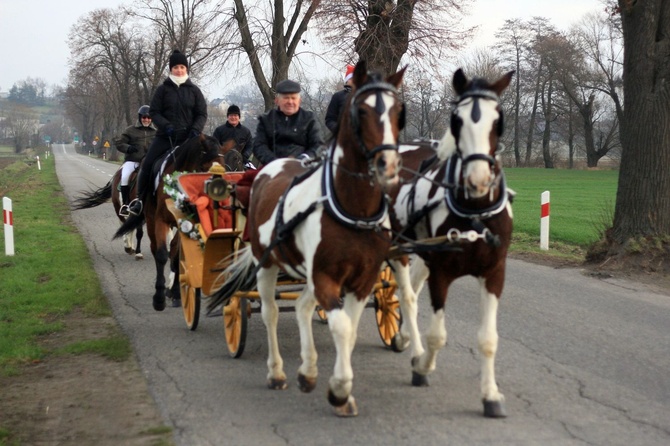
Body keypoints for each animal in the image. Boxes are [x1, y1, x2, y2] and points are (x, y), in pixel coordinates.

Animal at [210, 61, 406, 416]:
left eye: (399, 111)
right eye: (361, 110)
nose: (388, 165)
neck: (350, 206)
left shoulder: (362, 280)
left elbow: (349, 328)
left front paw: (337, 385)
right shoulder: (325, 276)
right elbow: (341, 326)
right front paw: (340, 390)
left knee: (301, 306)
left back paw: (308, 369)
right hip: (266, 263)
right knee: (270, 311)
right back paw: (277, 372)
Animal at [388, 69, 516, 418]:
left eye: (499, 119)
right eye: (456, 120)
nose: (478, 179)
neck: (475, 211)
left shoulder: (494, 273)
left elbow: (488, 339)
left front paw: (491, 396)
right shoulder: (442, 271)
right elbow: (437, 335)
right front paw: (422, 366)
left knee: (413, 287)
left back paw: (403, 336)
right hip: (398, 248)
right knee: (407, 296)